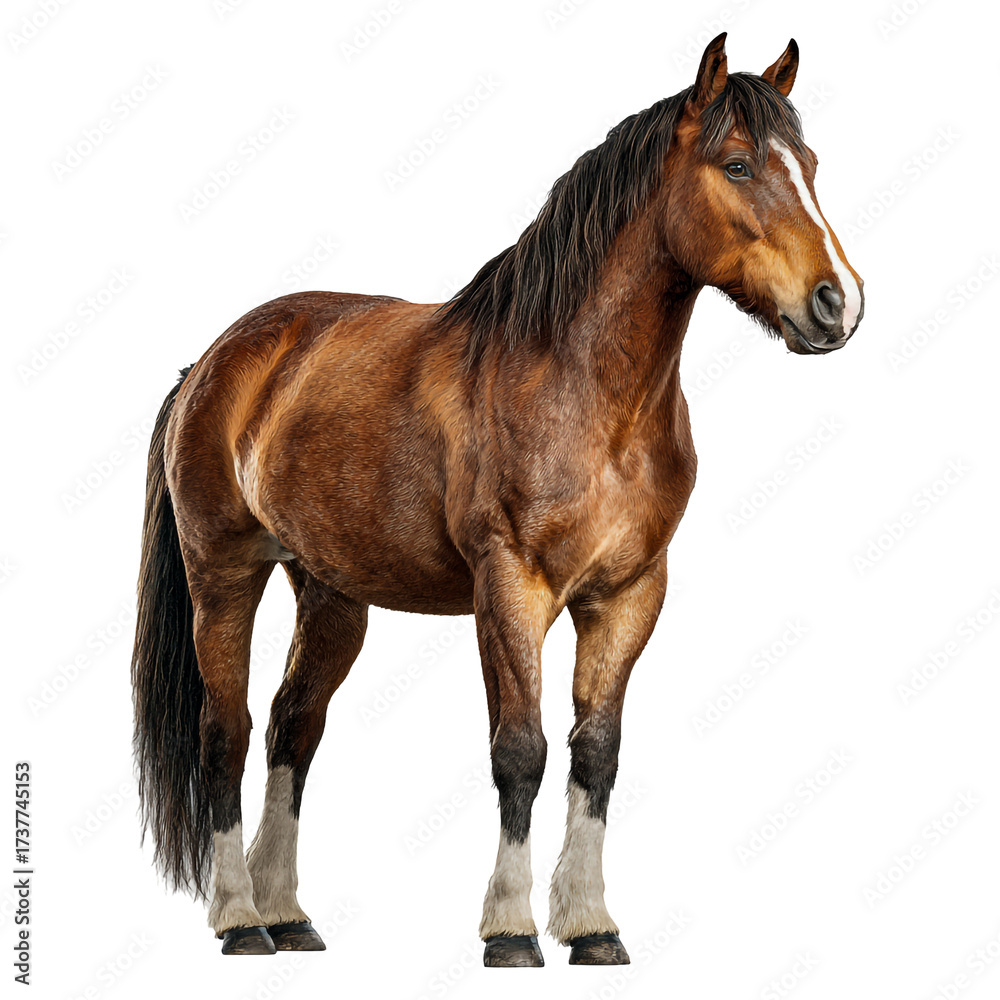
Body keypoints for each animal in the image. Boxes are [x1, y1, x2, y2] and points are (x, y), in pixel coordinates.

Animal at [131, 32, 863, 967]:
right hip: (222, 574)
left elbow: (597, 754)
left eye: (810, 164)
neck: (581, 391)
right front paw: (511, 929)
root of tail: (215, 361)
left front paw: (592, 927)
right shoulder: (510, 587)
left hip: (330, 593)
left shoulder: (628, 595)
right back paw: (239, 919)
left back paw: (288, 914)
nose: (837, 303)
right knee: (224, 732)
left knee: (293, 726)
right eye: (736, 164)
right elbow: (521, 750)